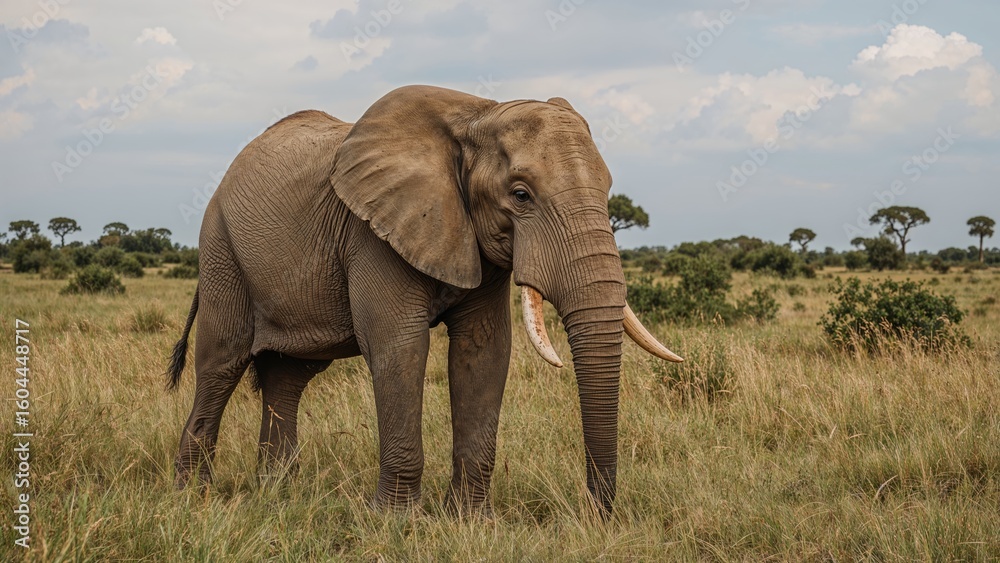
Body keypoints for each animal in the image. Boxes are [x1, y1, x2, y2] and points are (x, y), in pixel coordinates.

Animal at [166, 85, 682, 515]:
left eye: (609, 190)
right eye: (520, 195)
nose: (596, 512)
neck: (478, 113)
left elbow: (484, 351)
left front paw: (471, 521)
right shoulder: (372, 232)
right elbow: (399, 347)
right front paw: (397, 522)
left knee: (288, 376)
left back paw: (279, 493)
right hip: (221, 250)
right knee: (221, 364)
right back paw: (193, 497)